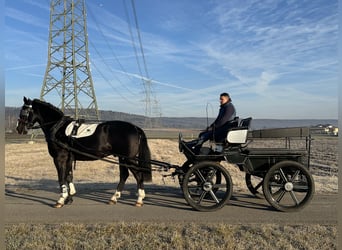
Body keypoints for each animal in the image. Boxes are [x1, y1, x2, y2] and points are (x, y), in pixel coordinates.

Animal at [15, 96, 152, 208]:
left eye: (24, 111)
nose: (19, 129)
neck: (58, 128)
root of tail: (135, 128)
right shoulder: (69, 158)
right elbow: (68, 176)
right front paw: (69, 198)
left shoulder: (59, 158)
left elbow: (61, 178)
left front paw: (61, 200)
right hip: (122, 158)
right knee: (124, 175)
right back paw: (114, 198)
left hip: (129, 158)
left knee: (138, 175)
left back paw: (139, 199)